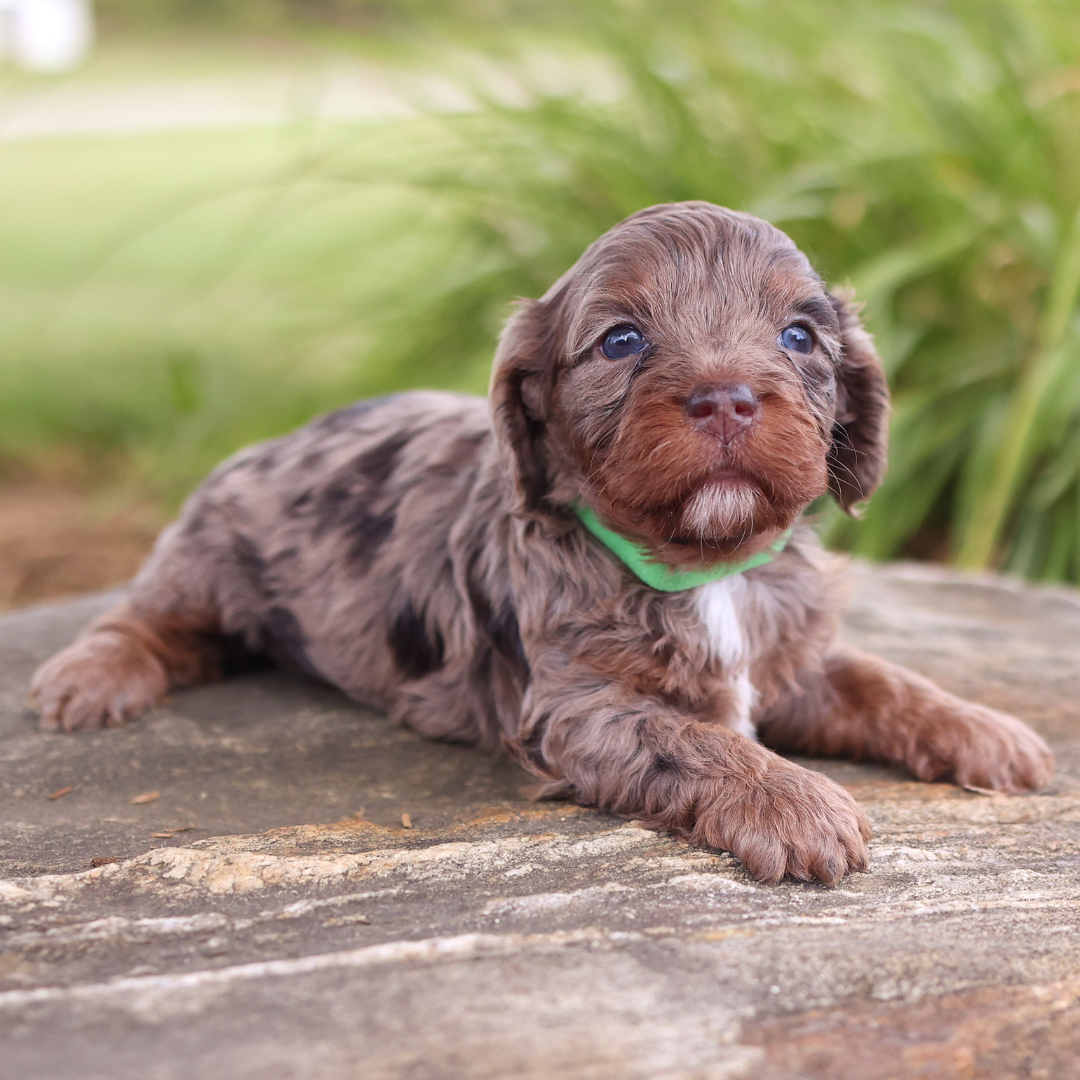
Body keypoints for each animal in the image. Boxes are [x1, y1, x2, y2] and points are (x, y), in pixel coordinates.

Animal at [29, 203, 1049, 885]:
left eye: (800, 336)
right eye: (621, 341)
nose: (726, 398)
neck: (705, 563)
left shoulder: (787, 662)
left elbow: (884, 680)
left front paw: (987, 730)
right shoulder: (577, 708)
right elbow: (694, 740)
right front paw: (798, 804)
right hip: (204, 558)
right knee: (147, 618)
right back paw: (88, 678)